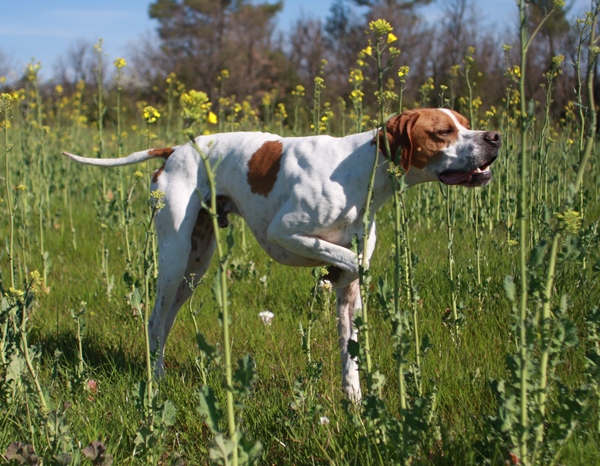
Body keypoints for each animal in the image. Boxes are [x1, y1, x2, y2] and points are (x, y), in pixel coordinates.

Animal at [63, 108, 500, 400]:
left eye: (465, 123)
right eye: (443, 131)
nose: (494, 136)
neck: (362, 172)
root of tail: (175, 150)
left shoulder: (348, 295)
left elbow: (350, 352)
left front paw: (356, 406)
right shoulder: (284, 232)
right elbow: (351, 260)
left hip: (194, 266)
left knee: (166, 321)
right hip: (173, 259)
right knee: (154, 320)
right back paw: (155, 382)